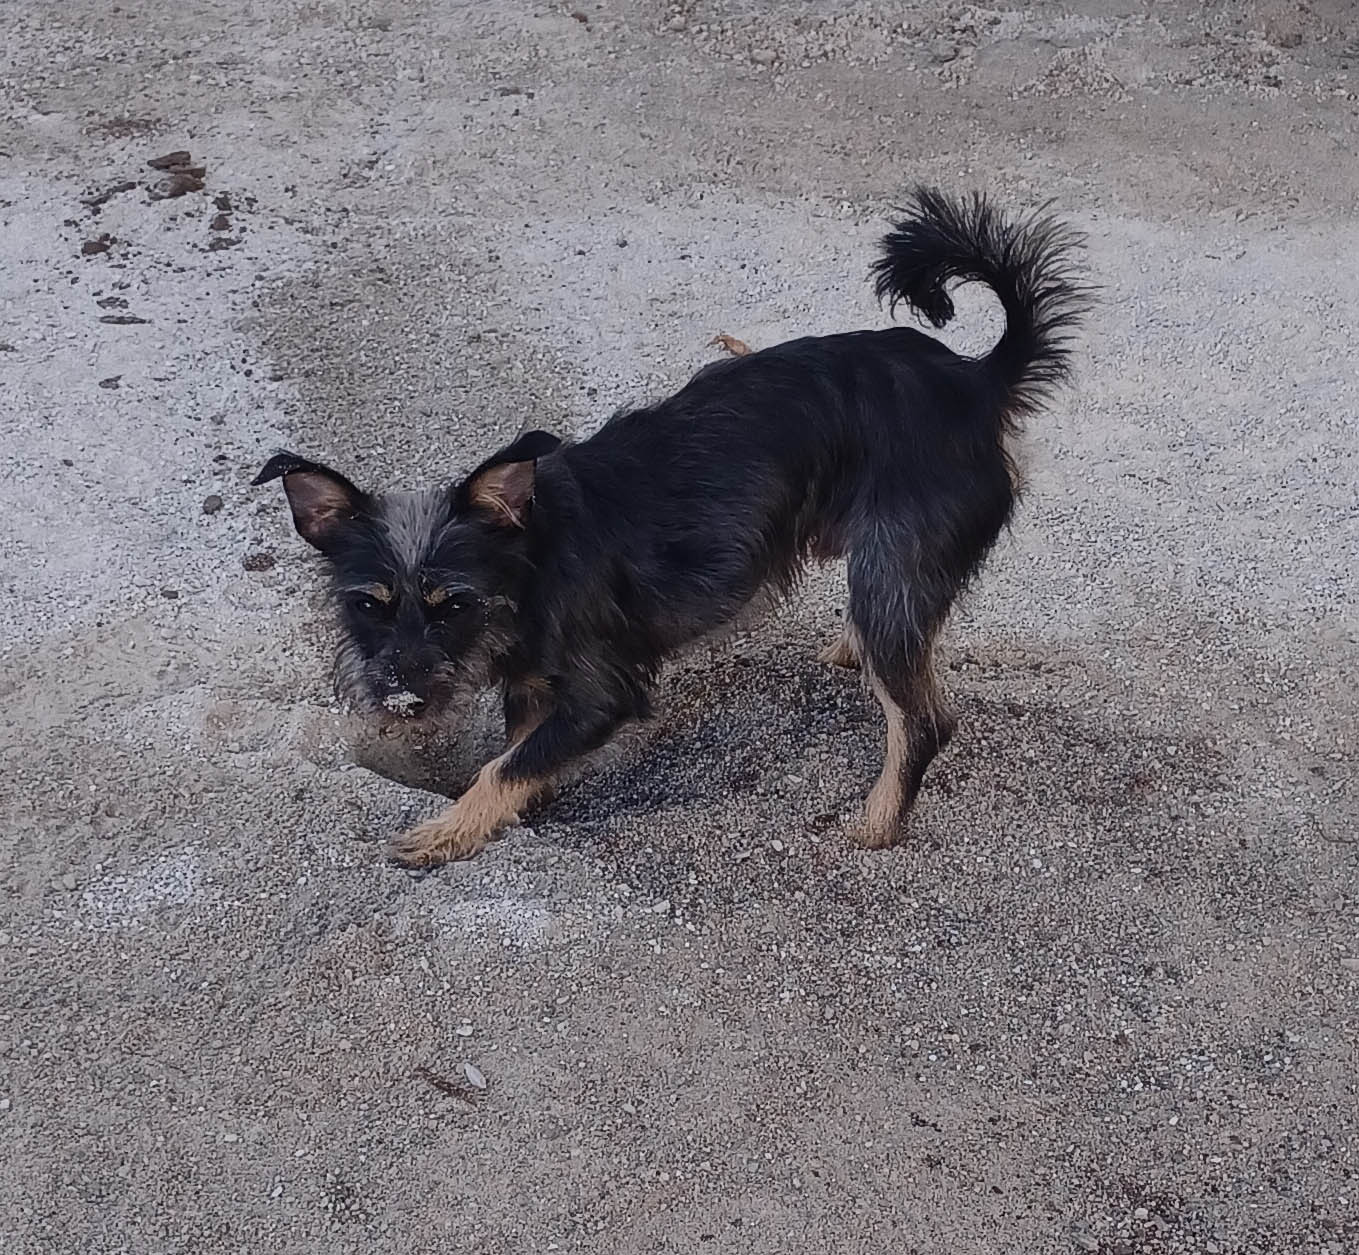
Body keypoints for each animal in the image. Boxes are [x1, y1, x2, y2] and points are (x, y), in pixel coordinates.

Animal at [252, 188, 1081, 864]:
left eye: (452, 604)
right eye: (368, 605)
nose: (399, 698)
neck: (534, 553)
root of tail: (974, 382)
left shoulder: (602, 693)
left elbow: (503, 764)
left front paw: (446, 830)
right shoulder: (536, 687)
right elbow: (520, 756)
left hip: (891, 569)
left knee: (923, 719)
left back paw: (876, 824)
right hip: (889, 575)